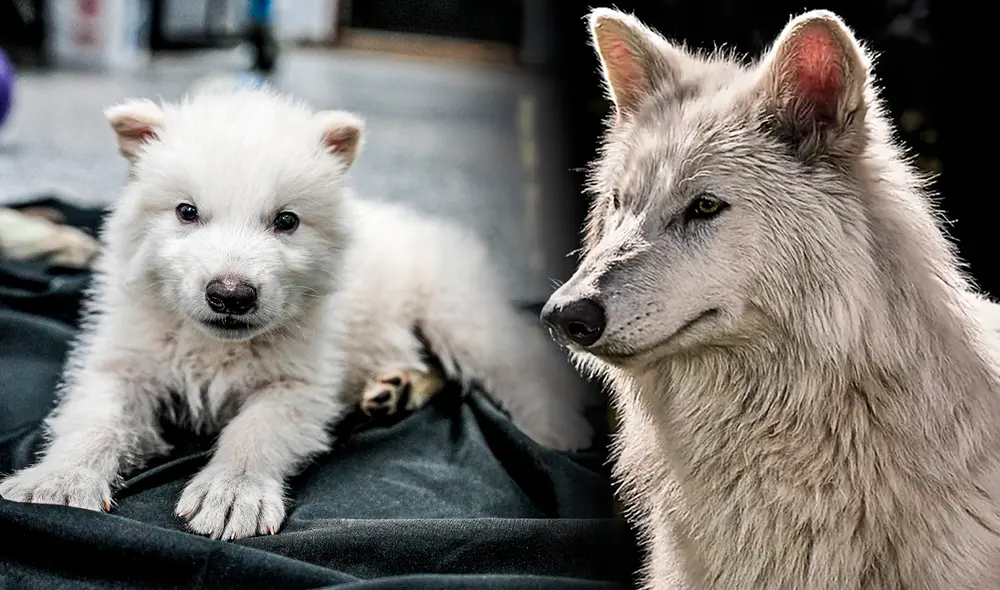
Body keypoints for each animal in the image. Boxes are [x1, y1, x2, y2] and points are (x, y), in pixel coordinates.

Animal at [0, 86, 592, 541]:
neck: (213, 345)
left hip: (456, 307)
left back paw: (558, 425)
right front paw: (59, 482)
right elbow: (97, 418)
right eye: (186, 212)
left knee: (510, 358)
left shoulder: (301, 381)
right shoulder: (127, 359)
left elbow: (257, 430)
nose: (231, 295)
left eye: (286, 221)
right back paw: (396, 387)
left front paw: (231, 494)